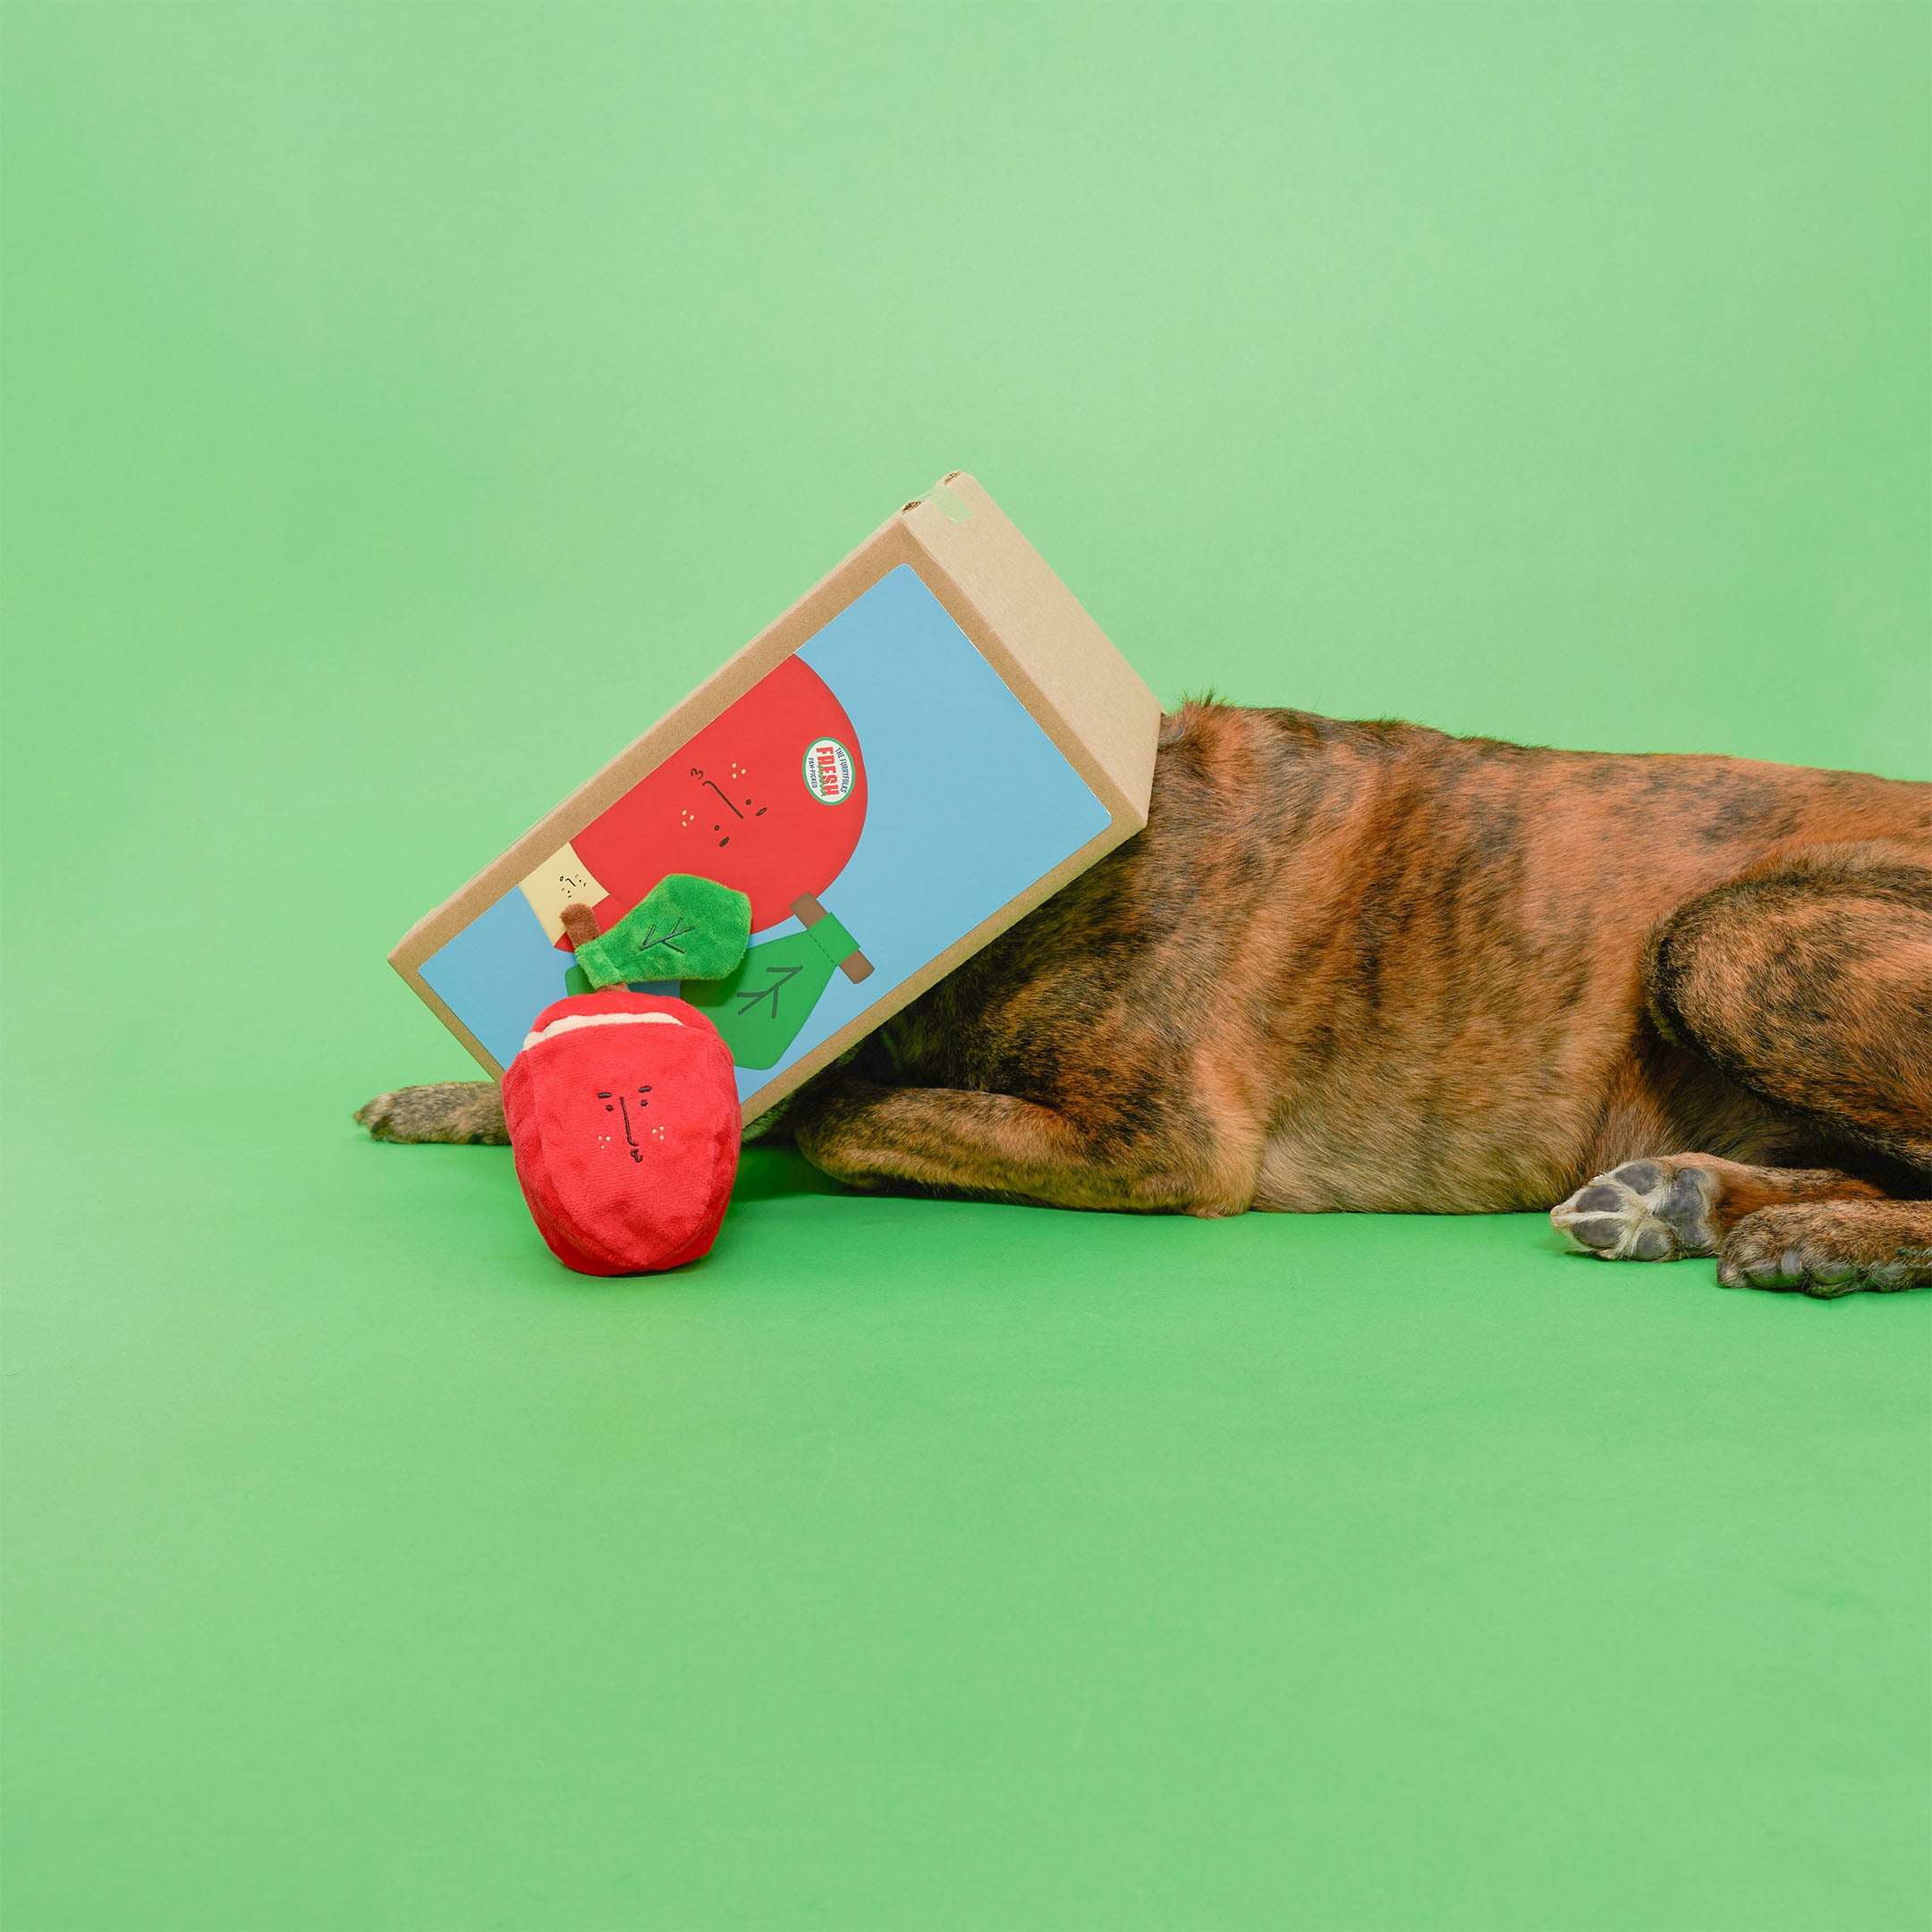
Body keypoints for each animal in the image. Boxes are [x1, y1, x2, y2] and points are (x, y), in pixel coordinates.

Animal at [355, 703, 1924, 1290]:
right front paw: (459, 1095)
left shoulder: (1159, 1137)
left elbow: (849, 1118)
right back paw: (1684, 1201)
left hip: (1724, 938)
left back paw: (1815, 1246)